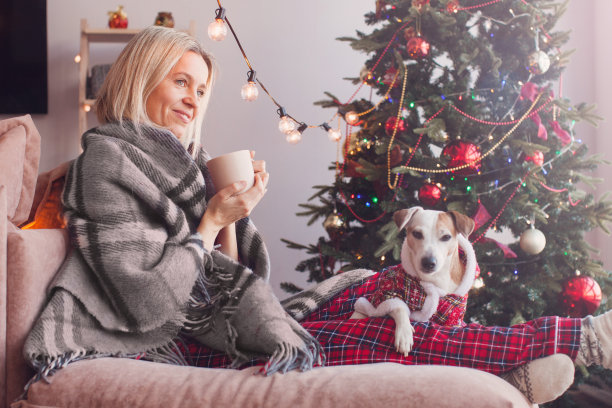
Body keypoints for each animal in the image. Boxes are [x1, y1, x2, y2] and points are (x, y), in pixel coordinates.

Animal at [350, 206, 478, 356]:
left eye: (446, 237)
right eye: (417, 234)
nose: (429, 262)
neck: (433, 280)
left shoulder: (453, 318)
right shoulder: (387, 292)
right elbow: (398, 307)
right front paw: (404, 335)